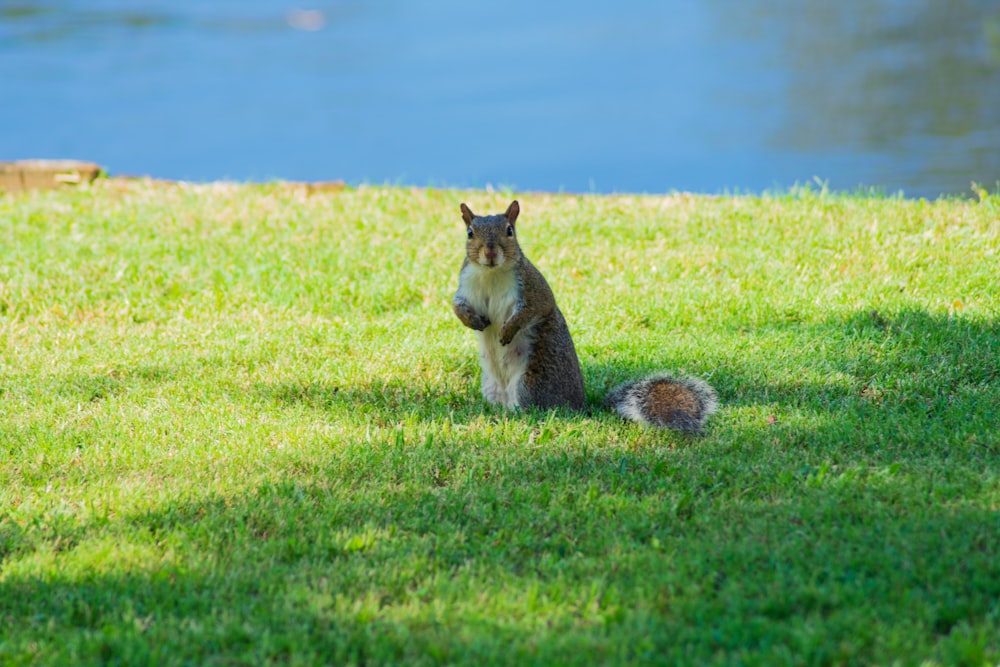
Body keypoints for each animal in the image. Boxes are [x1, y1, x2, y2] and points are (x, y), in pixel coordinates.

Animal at [454, 201, 720, 436]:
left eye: (510, 230)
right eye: (470, 233)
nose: (490, 252)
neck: (491, 274)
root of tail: (580, 408)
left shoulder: (533, 287)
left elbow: (534, 309)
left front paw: (508, 330)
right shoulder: (466, 287)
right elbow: (457, 307)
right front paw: (472, 321)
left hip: (530, 383)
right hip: (491, 388)